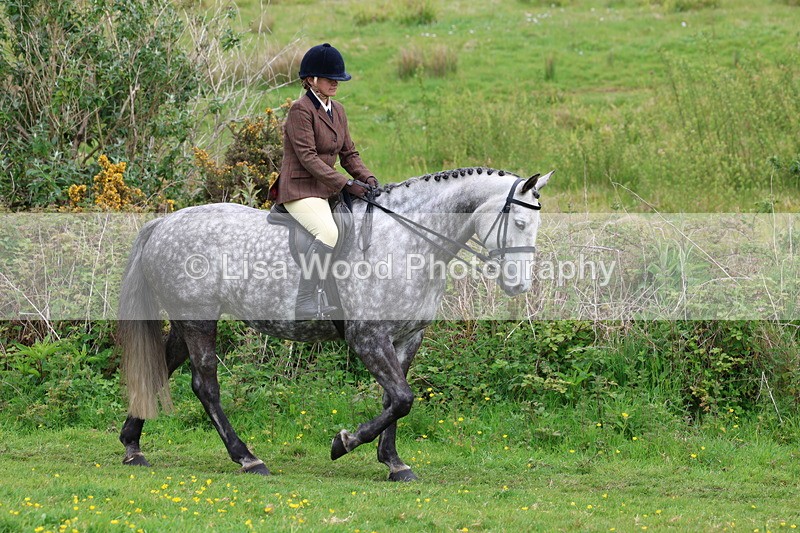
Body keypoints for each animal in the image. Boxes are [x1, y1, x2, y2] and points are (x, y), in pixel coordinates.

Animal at [117, 166, 553, 481]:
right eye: (518, 224)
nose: (519, 285)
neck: (407, 241)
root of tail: (164, 224)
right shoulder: (368, 337)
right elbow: (402, 397)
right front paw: (344, 442)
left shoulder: (407, 337)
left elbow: (394, 400)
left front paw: (394, 462)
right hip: (198, 318)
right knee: (205, 385)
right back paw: (248, 458)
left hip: (186, 320)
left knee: (162, 366)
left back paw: (132, 446)